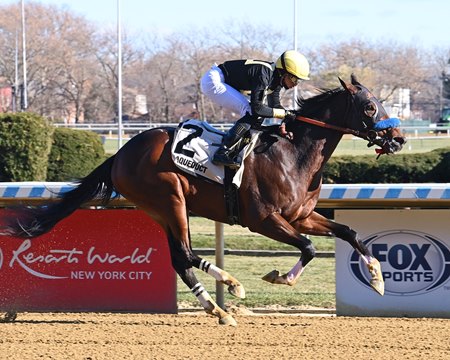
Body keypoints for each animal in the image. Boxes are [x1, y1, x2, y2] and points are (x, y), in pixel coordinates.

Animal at [0, 75, 408, 326]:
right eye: (370, 107)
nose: (399, 139)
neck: (292, 152)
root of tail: (120, 154)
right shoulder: (264, 220)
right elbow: (307, 248)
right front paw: (278, 277)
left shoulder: (301, 216)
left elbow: (348, 231)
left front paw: (377, 277)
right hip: (170, 199)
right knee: (184, 253)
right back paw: (228, 289)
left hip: (162, 209)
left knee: (181, 258)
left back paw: (219, 306)